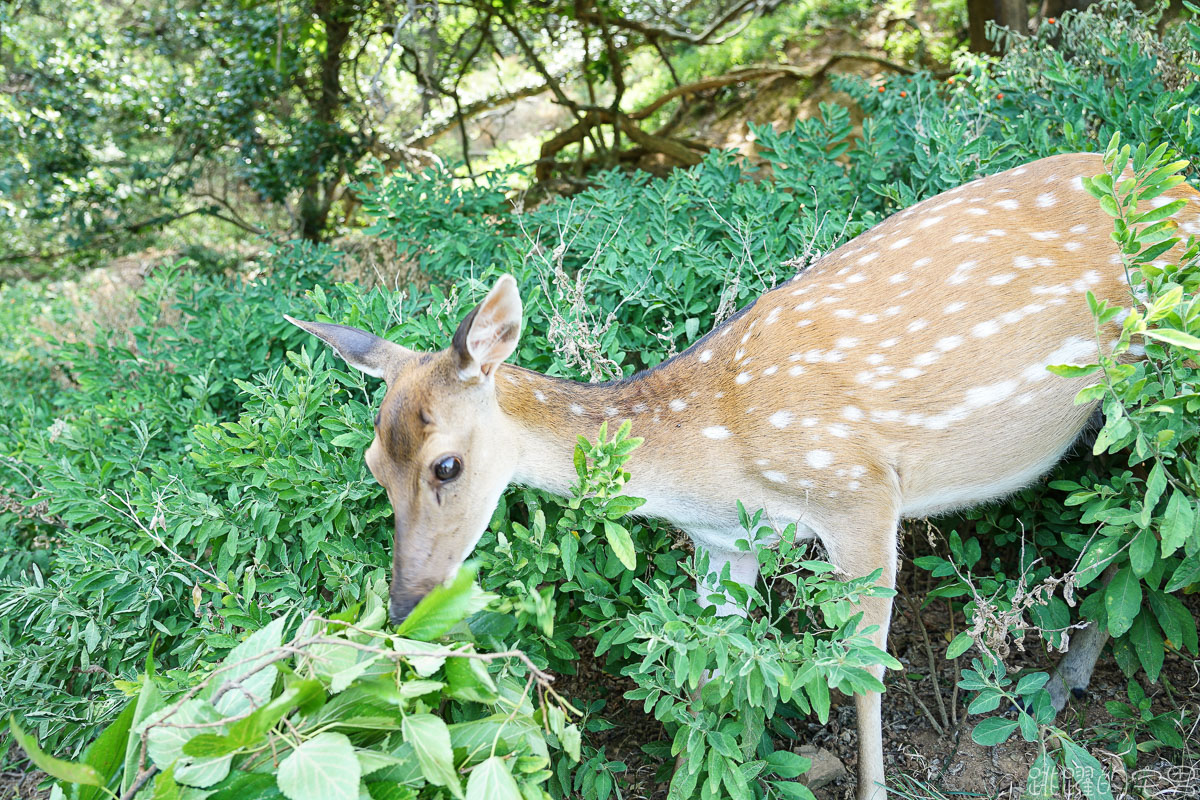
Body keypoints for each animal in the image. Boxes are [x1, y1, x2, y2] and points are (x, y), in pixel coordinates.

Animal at [288, 153, 1200, 796]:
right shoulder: (725, 542)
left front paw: (874, 786)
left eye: (447, 463)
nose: (403, 608)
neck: (713, 460)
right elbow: (708, 670)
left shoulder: (860, 490)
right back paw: (1063, 681)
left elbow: (861, 670)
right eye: (372, 463)